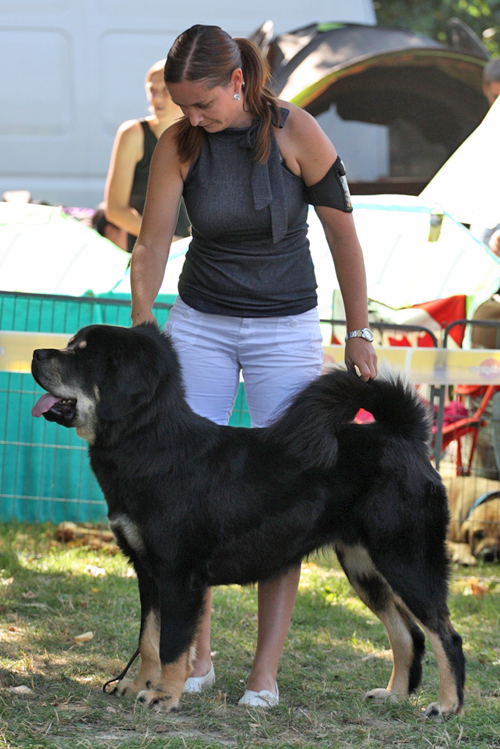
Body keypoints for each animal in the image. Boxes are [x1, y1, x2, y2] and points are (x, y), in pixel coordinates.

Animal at [31, 324, 464, 716]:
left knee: (446, 635)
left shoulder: (178, 575)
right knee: (409, 635)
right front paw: (138, 685)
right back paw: (394, 696)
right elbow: (149, 640)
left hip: (406, 561)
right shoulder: (148, 571)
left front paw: (164, 696)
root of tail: (405, 435)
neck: (151, 444)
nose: (36, 352)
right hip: (364, 567)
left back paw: (447, 706)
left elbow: (171, 645)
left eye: (82, 356)